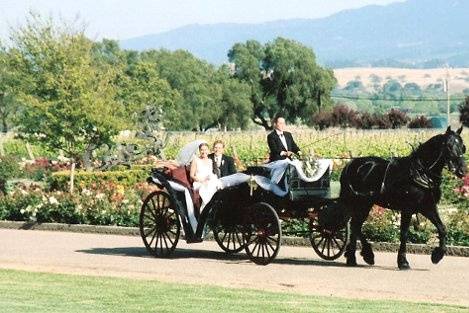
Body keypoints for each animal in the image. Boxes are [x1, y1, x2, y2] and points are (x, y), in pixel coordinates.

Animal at [338, 126, 466, 268]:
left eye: (463, 147)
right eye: (448, 146)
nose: (462, 170)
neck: (421, 172)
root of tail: (351, 164)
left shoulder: (428, 207)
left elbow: (442, 228)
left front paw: (437, 256)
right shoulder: (407, 209)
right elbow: (404, 233)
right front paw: (403, 261)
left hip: (365, 203)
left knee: (355, 225)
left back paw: (355, 258)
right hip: (361, 203)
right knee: (355, 225)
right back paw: (364, 255)